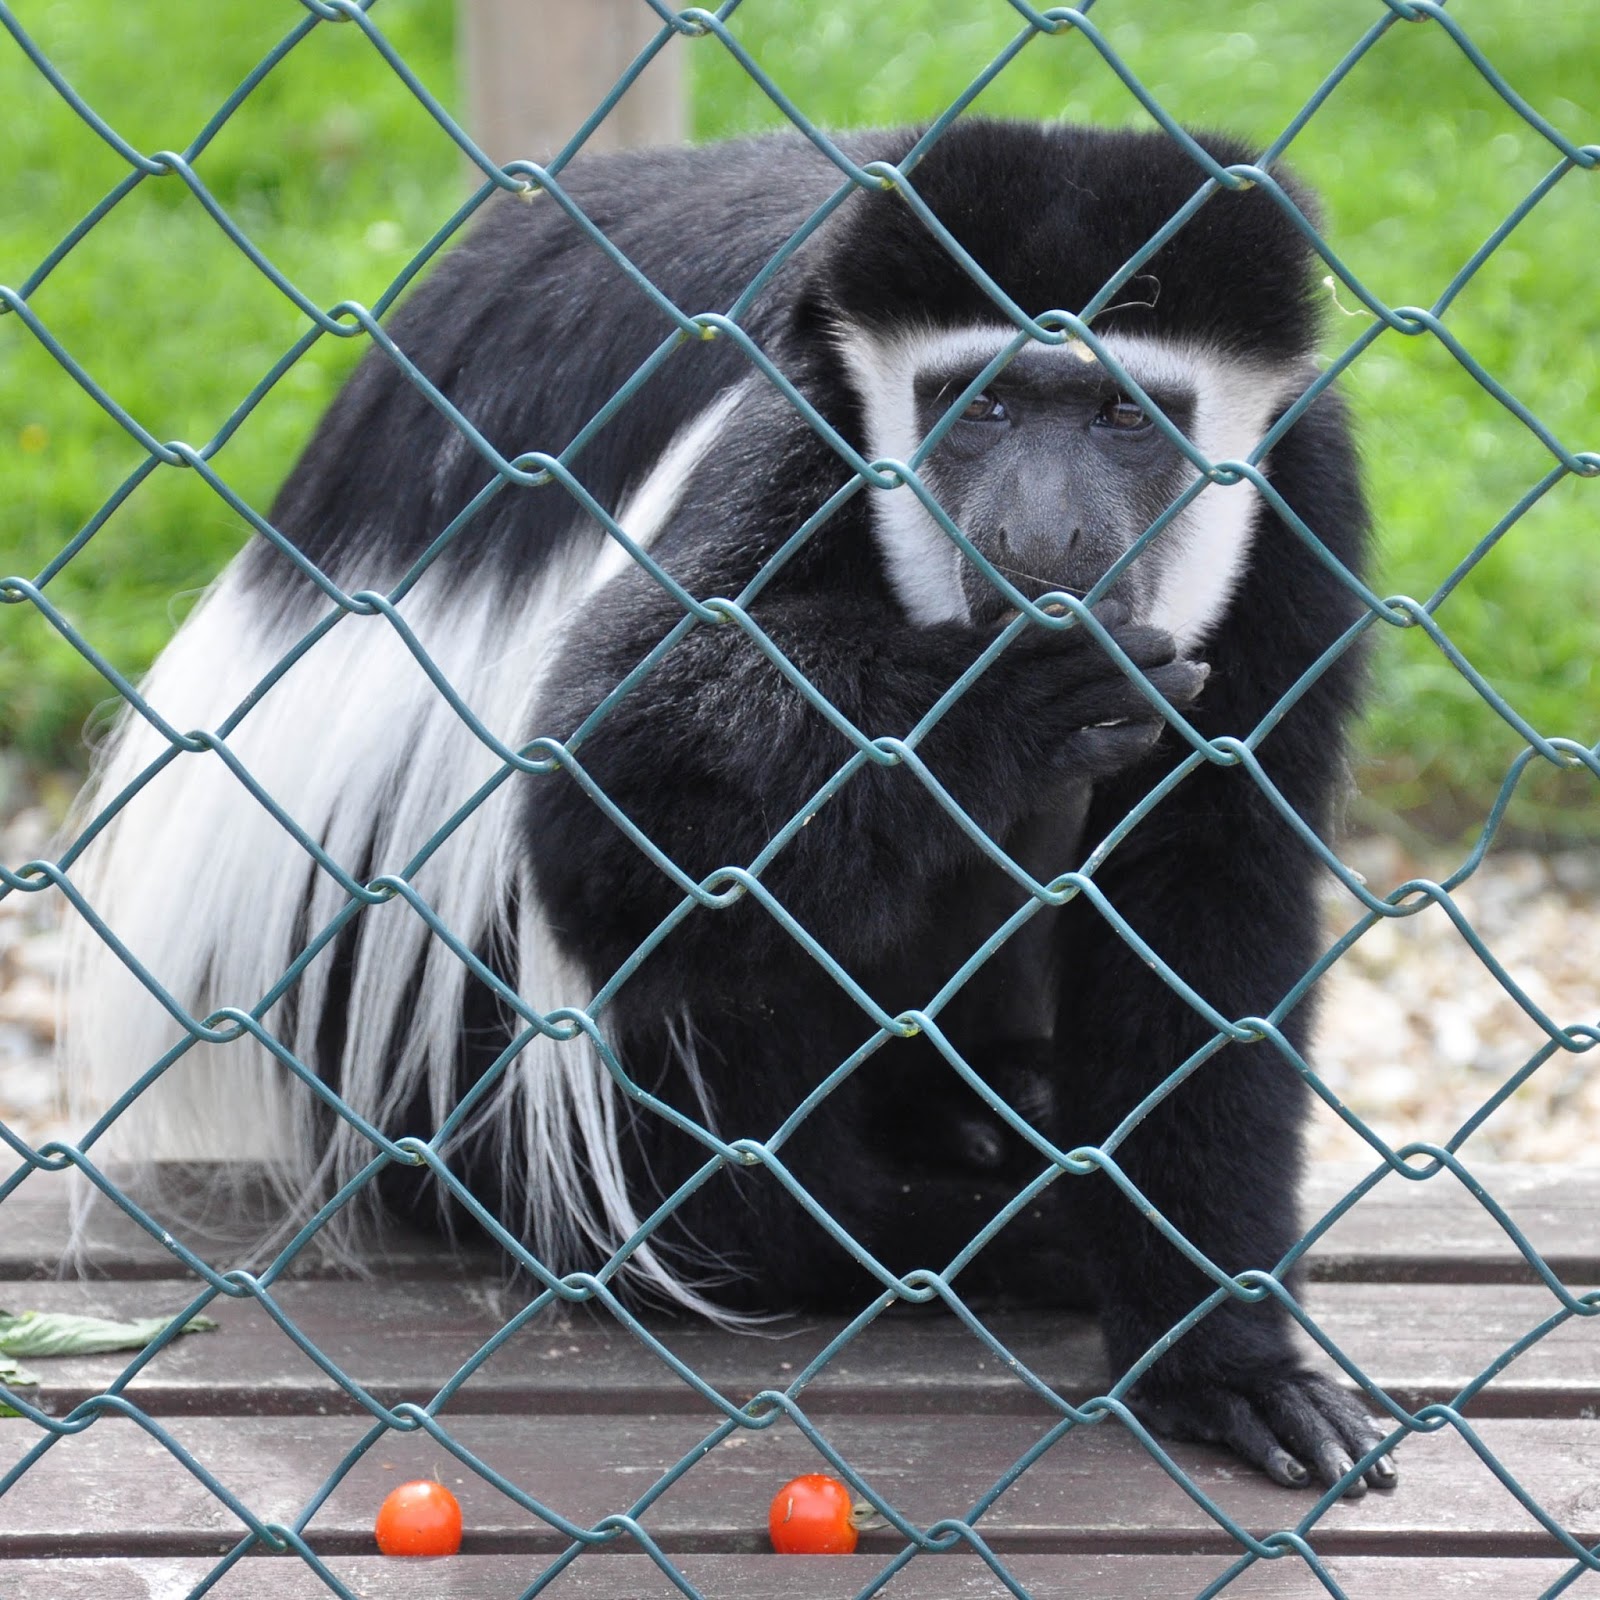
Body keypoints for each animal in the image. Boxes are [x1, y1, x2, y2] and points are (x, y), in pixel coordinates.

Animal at [65, 119, 1394, 1494]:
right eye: (981, 403)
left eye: (1125, 416)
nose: (1038, 536)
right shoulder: (794, 427)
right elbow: (614, 799)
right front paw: (995, 705)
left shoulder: (1299, 489)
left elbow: (1210, 895)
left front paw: (1223, 1361)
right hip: (438, 1053)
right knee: (699, 952)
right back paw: (912, 1235)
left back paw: (983, 1116)